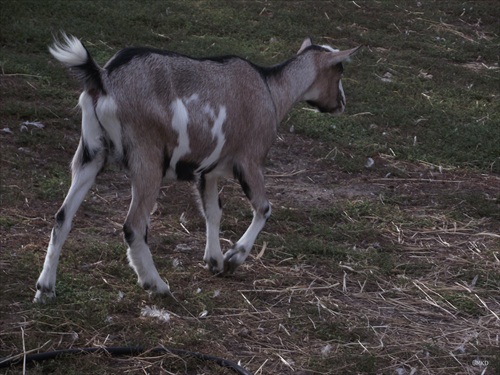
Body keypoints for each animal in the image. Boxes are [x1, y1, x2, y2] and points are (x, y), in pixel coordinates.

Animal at [32, 33, 360, 302]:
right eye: (340, 70)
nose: (342, 103)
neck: (270, 90)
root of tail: (103, 78)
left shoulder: (208, 171)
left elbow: (213, 212)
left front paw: (215, 260)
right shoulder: (250, 160)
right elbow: (264, 208)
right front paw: (234, 257)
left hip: (91, 152)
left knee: (62, 217)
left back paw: (45, 288)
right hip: (147, 160)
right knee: (133, 226)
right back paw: (155, 284)